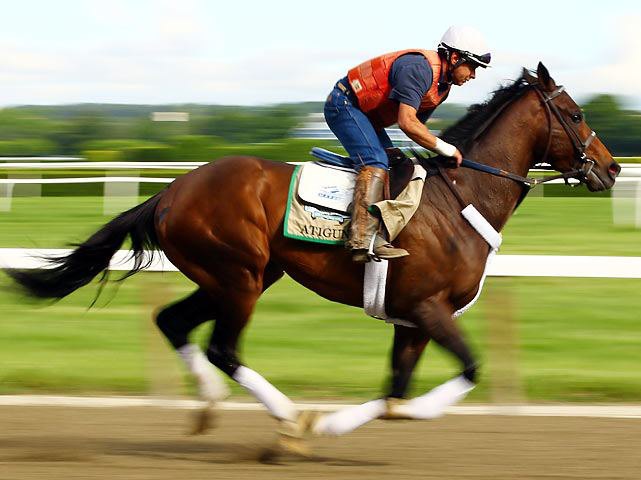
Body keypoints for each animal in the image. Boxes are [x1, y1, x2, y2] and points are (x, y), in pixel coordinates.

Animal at [2, 64, 616, 454]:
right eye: (575, 114)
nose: (610, 169)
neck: (460, 197)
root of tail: (171, 191)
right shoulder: (429, 307)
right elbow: (458, 374)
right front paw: (325, 423)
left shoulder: (412, 319)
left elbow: (393, 391)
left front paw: (338, 424)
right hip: (239, 276)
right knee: (223, 348)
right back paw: (286, 416)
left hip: (238, 276)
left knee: (171, 321)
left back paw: (210, 405)